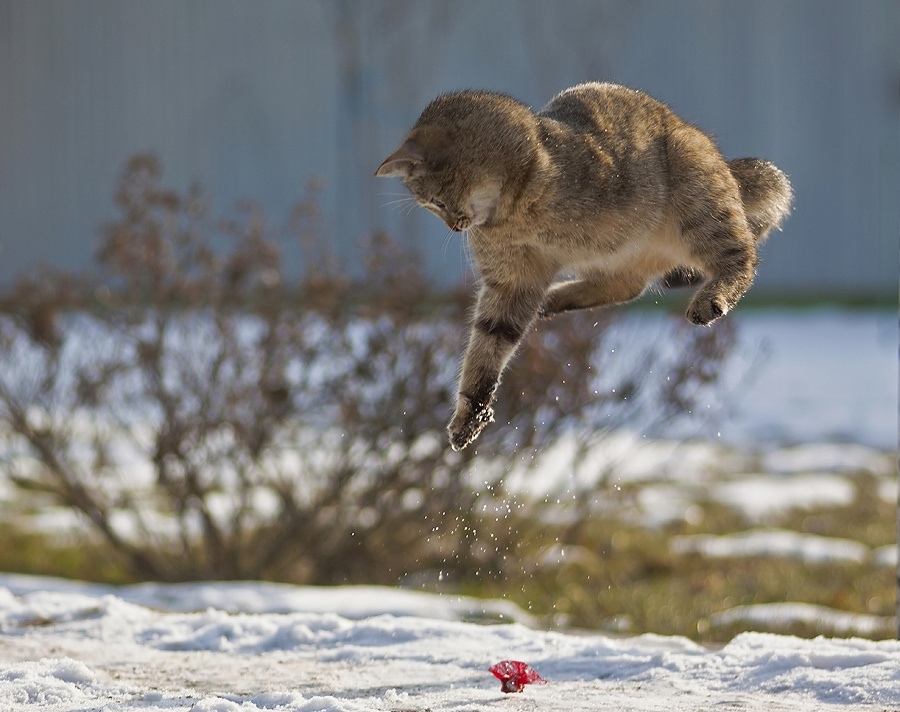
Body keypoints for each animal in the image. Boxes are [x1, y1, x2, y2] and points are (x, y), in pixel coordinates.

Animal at [376, 82, 792, 450]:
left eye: (434, 202)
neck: (511, 213)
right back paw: (553, 301)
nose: (453, 226)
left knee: (742, 257)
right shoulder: (513, 281)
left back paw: (710, 298)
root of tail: (721, 160)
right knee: (627, 287)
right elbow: (488, 343)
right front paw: (470, 415)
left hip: (699, 199)